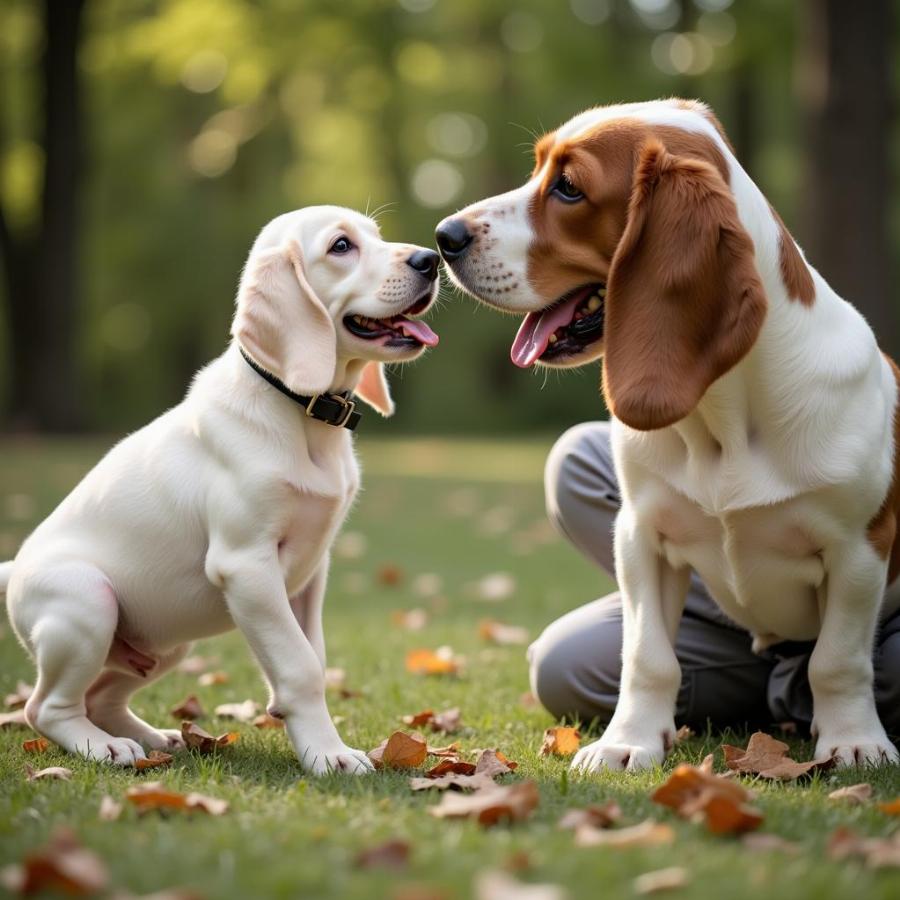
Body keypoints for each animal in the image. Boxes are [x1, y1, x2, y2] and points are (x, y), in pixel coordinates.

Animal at [0, 204, 440, 772]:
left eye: (377, 236)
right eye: (341, 246)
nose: (431, 258)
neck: (302, 415)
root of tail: (14, 570)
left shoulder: (310, 571)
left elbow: (313, 655)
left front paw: (311, 734)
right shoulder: (247, 565)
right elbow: (300, 665)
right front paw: (329, 756)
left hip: (165, 641)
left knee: (100, 697)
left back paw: (153, 738)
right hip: (88, 604)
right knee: (46, 707)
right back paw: (103, 746)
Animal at [438, 100, 900, 772]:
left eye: (568, 186)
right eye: (538, 167)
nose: (443, 237)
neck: (723, 420)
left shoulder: (859, 550)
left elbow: (838, 660)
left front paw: (855, 740)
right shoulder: (641, 536)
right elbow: (648, 657)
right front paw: (626, 742)